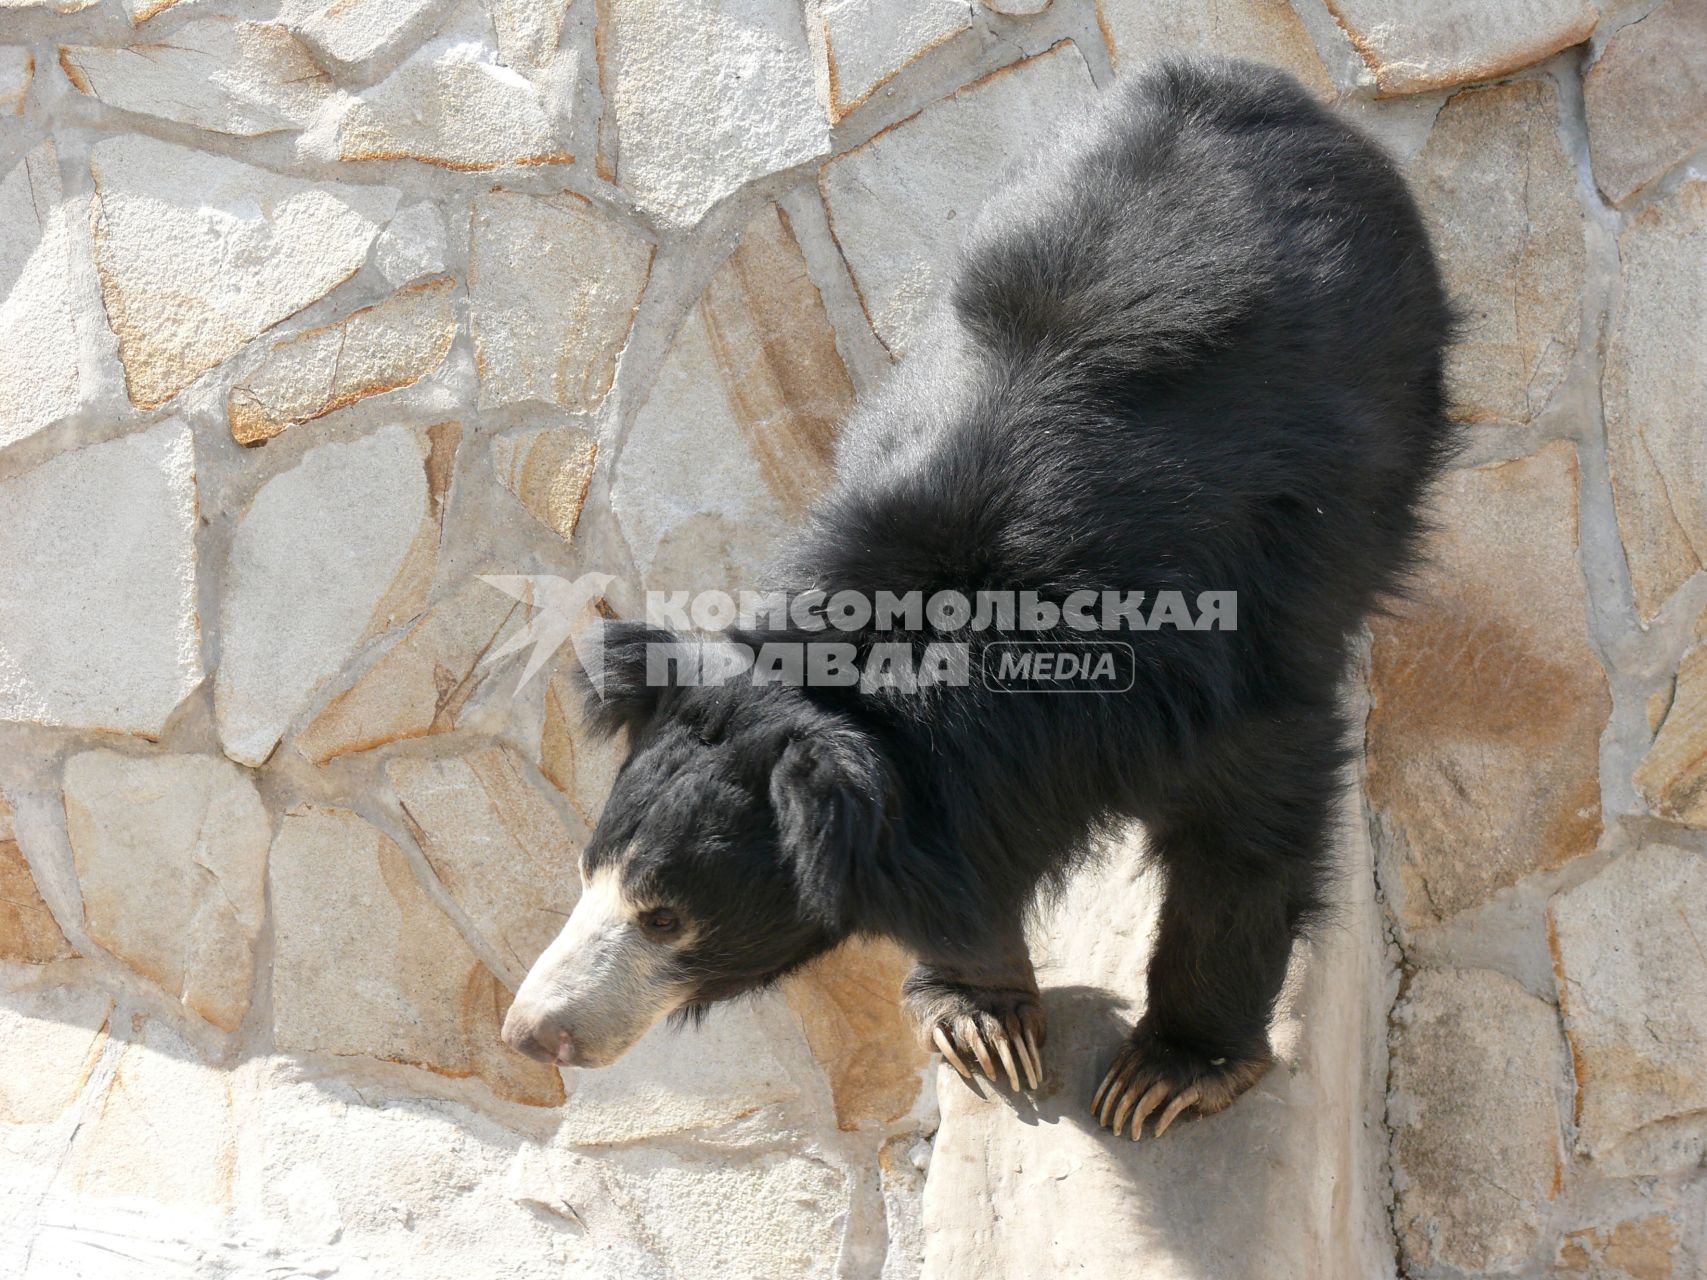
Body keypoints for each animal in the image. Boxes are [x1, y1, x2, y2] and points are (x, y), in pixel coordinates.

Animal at [501, 57, 1454, 1140]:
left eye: (665, 915)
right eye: (589, 871)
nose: (530, 1030)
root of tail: (1241, 78)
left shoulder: (1214, 666)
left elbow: (1246, 828)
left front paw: (1169, 1073)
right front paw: (984, 1022)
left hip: (1396, 378)